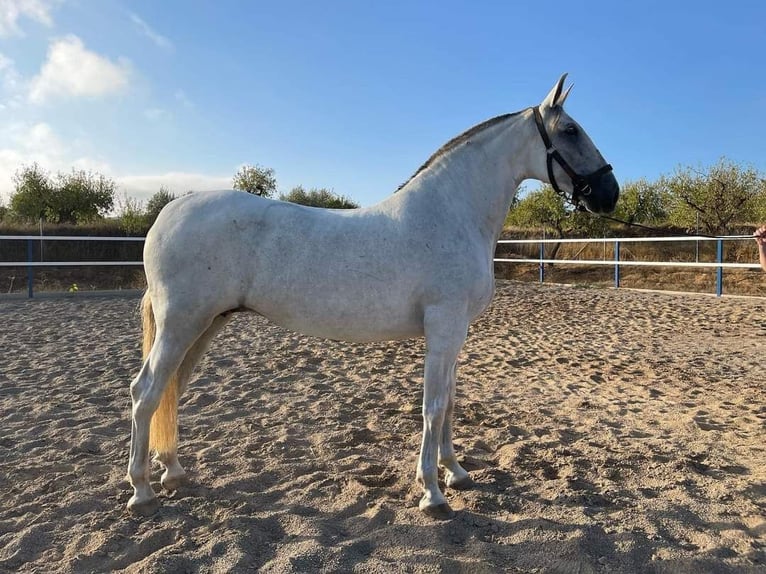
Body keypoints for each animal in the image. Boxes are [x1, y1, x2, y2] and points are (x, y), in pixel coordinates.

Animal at [126, 74, 619, 519]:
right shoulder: (443, 326)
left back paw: (173, 472)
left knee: (170, 389)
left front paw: (456, 472)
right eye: (570, 130)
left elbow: (449, 402)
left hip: (207, 323)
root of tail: (167, 214)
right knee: (146, 391)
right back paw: (142, 491)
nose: (609, 194)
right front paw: (432, 492)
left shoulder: (456, 332)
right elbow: (433, 405)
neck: (451, 213)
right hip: (182, 323)